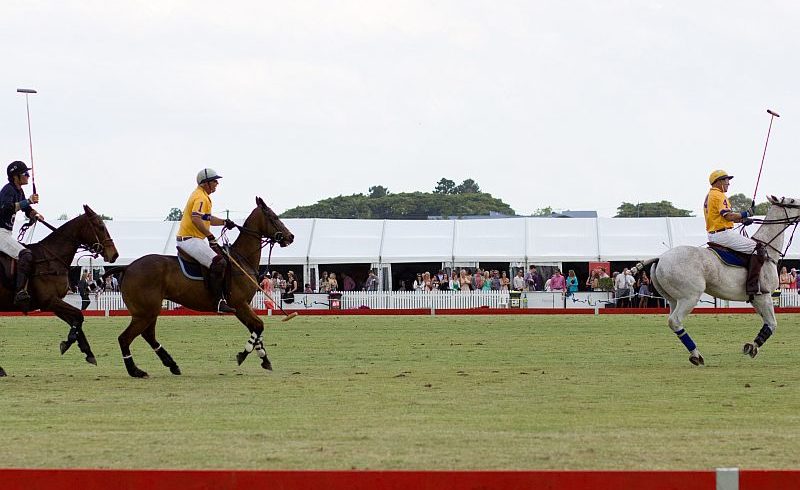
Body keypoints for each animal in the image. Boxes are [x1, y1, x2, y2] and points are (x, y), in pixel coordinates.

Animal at [0, 205, 119, 378]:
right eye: (101, 226)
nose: (114, 254)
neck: (51, 258)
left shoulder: (54, 303)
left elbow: (77, 319)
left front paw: (86, 351)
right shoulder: (49, 301)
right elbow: (79, 315)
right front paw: (69, 341)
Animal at [119, 197, 294, 378]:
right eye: (274, 217)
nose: (291, 236)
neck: (241, 260)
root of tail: (127, 267)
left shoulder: (241, 307)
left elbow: (256, 328)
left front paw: (264, 358)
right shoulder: (239, 304)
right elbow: (259, 325)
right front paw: (243, 354)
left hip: (149, 311)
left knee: (148, 335)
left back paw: (172, 364)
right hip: (144, 313)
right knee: (125, 338)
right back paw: (135, 370)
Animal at [636, 194, 796, 364]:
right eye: (792, 201)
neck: (768, 250)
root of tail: (660, 257)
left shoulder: (756, 298)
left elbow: (767, 322)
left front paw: (752, 346)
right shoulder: (764, 295)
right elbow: (772, 323)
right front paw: (752, 347)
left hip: (673, 299)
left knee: (673, 319)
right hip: (690, 296)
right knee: (675, 320)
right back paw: (696, 355)